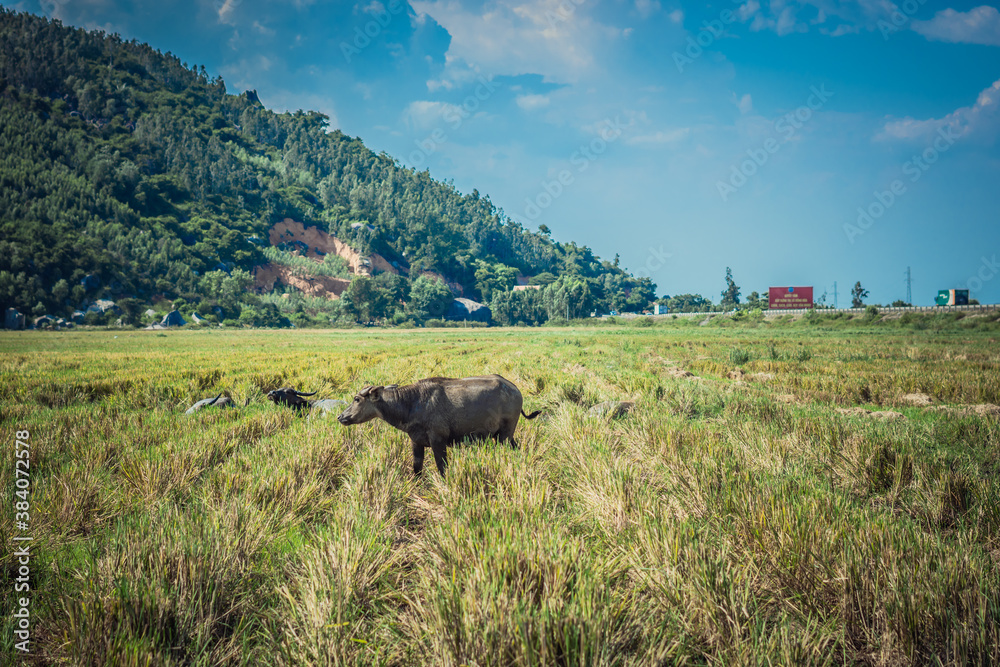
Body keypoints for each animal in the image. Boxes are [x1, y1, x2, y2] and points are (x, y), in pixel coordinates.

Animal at [336, 376, 540, 474]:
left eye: (356, 399)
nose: (341, 417)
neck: (412, 403)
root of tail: (514, 389)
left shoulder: (438, 442)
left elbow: (442, 468)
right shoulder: (416, 442)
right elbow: (416, 468)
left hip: (505, 435)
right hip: (505, 437)